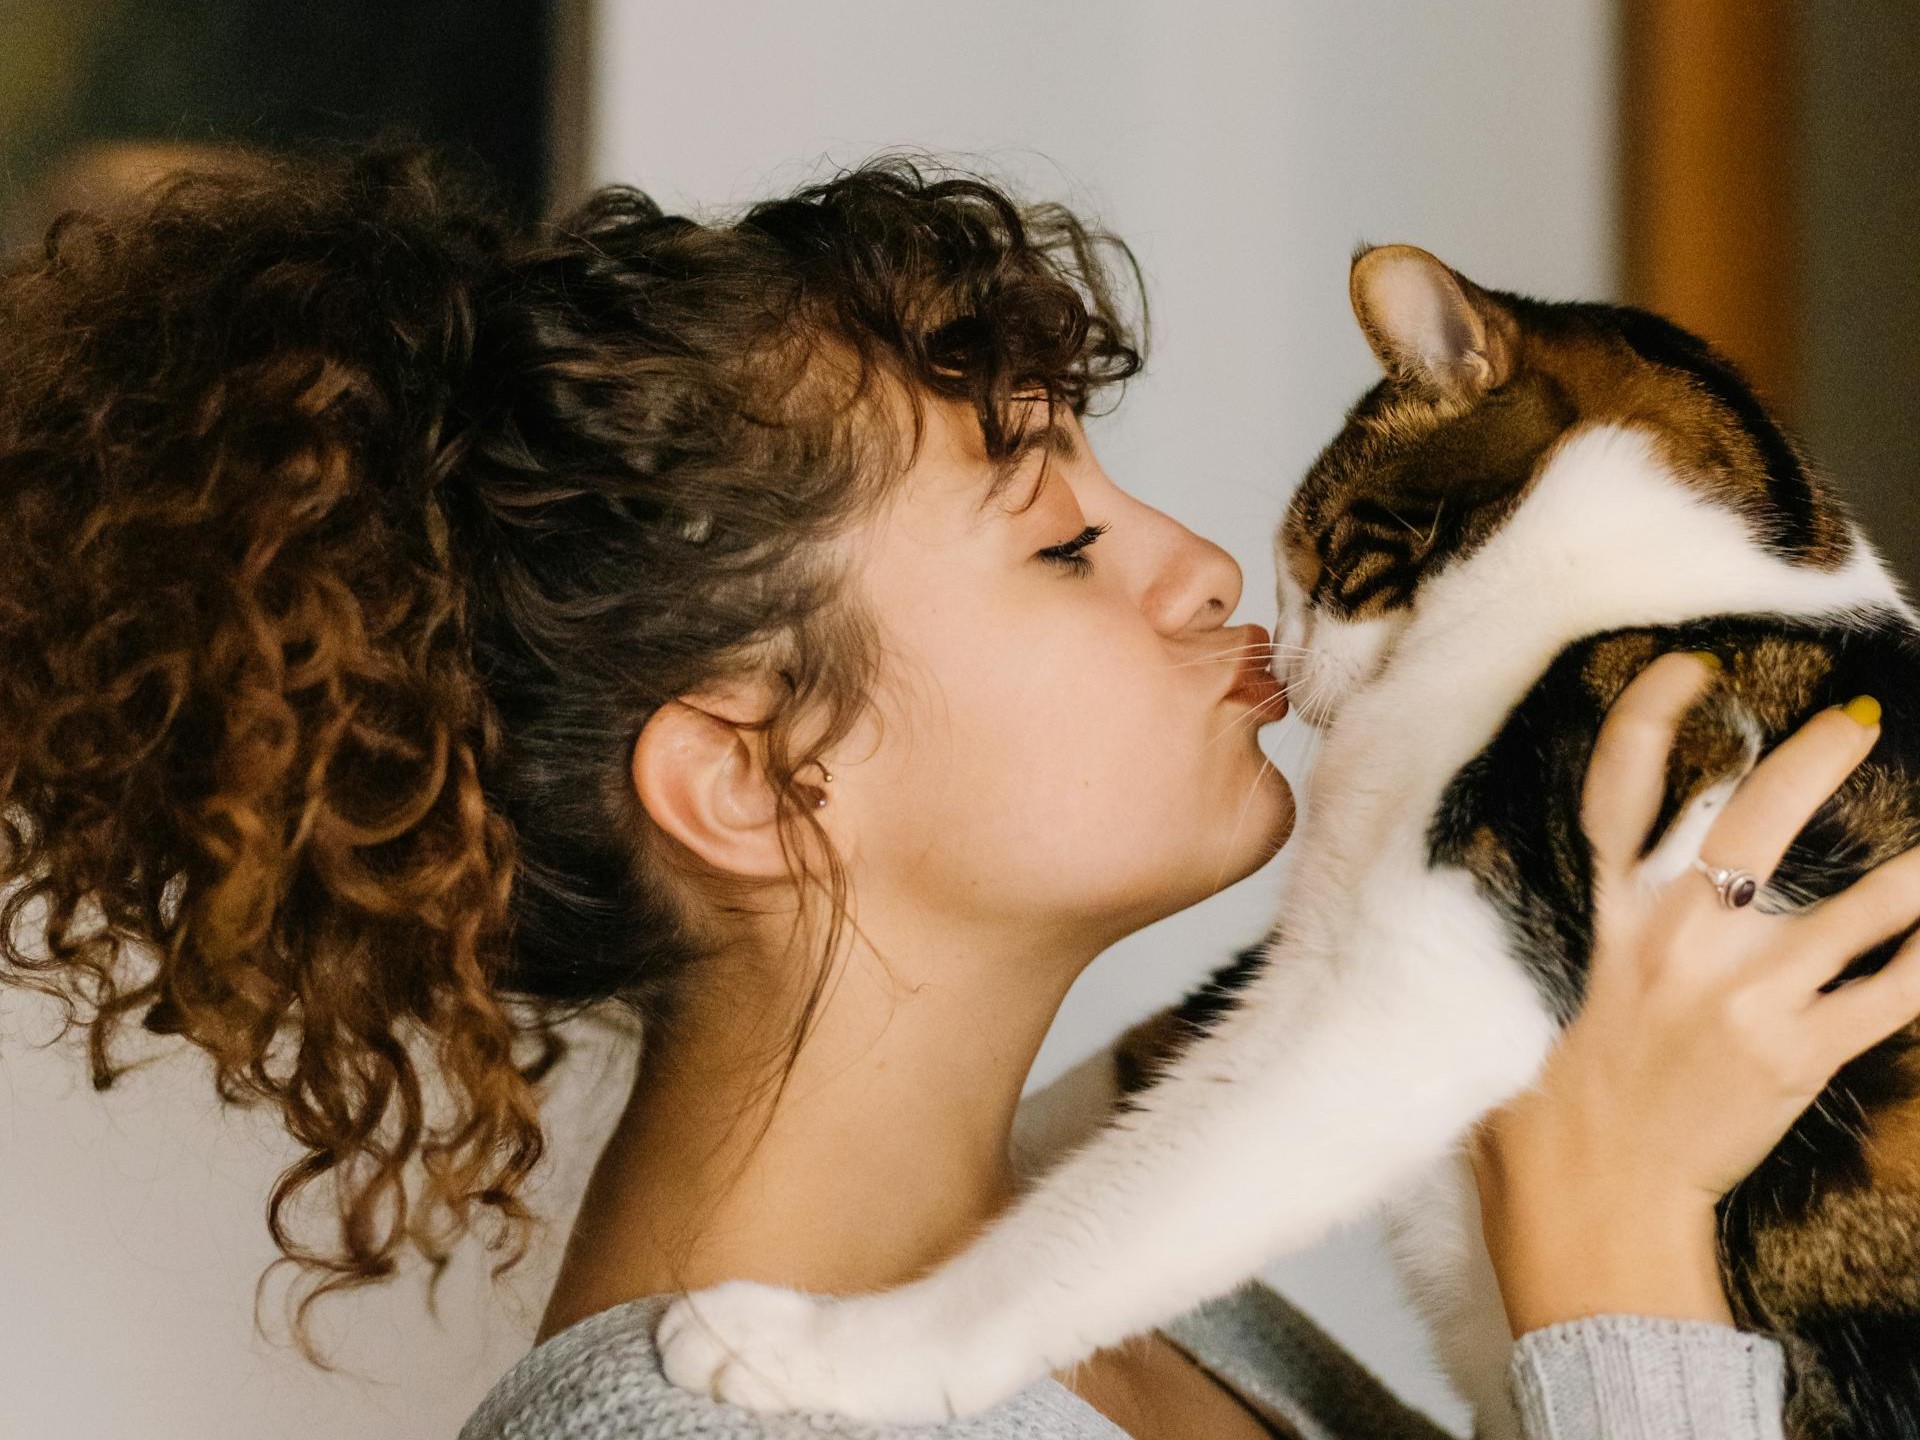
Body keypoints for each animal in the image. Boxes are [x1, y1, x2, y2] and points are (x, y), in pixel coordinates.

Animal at [656, 247, 1920, 1440]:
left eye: (1315, 552)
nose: (1273, 649)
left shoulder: (1425, 978)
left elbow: (1110, 1214)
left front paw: (820, 1349)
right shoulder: (1312, 945)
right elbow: (1151, 1056)